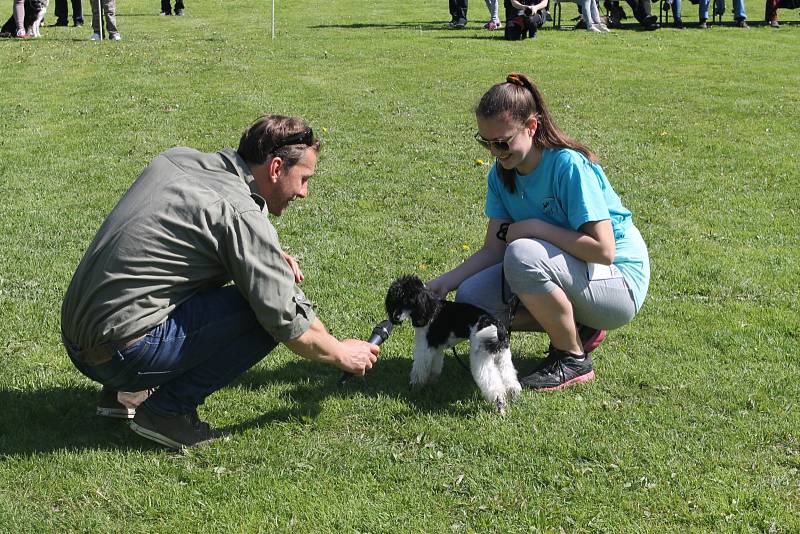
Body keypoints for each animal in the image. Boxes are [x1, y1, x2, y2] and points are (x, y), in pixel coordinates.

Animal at [384, 274, 520, 416]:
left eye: (408, 301)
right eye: (395, 301)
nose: (396, 317)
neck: (430, 308)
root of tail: (497, 327)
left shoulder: (424, 347)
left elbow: (419, 370)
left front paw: (414, 388)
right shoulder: (436, 347)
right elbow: (435, 367)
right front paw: (432, 383)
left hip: (482, 358)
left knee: (494, 387)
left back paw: (500, 406)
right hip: (502, 356)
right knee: (510, 379)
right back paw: (513, 396)